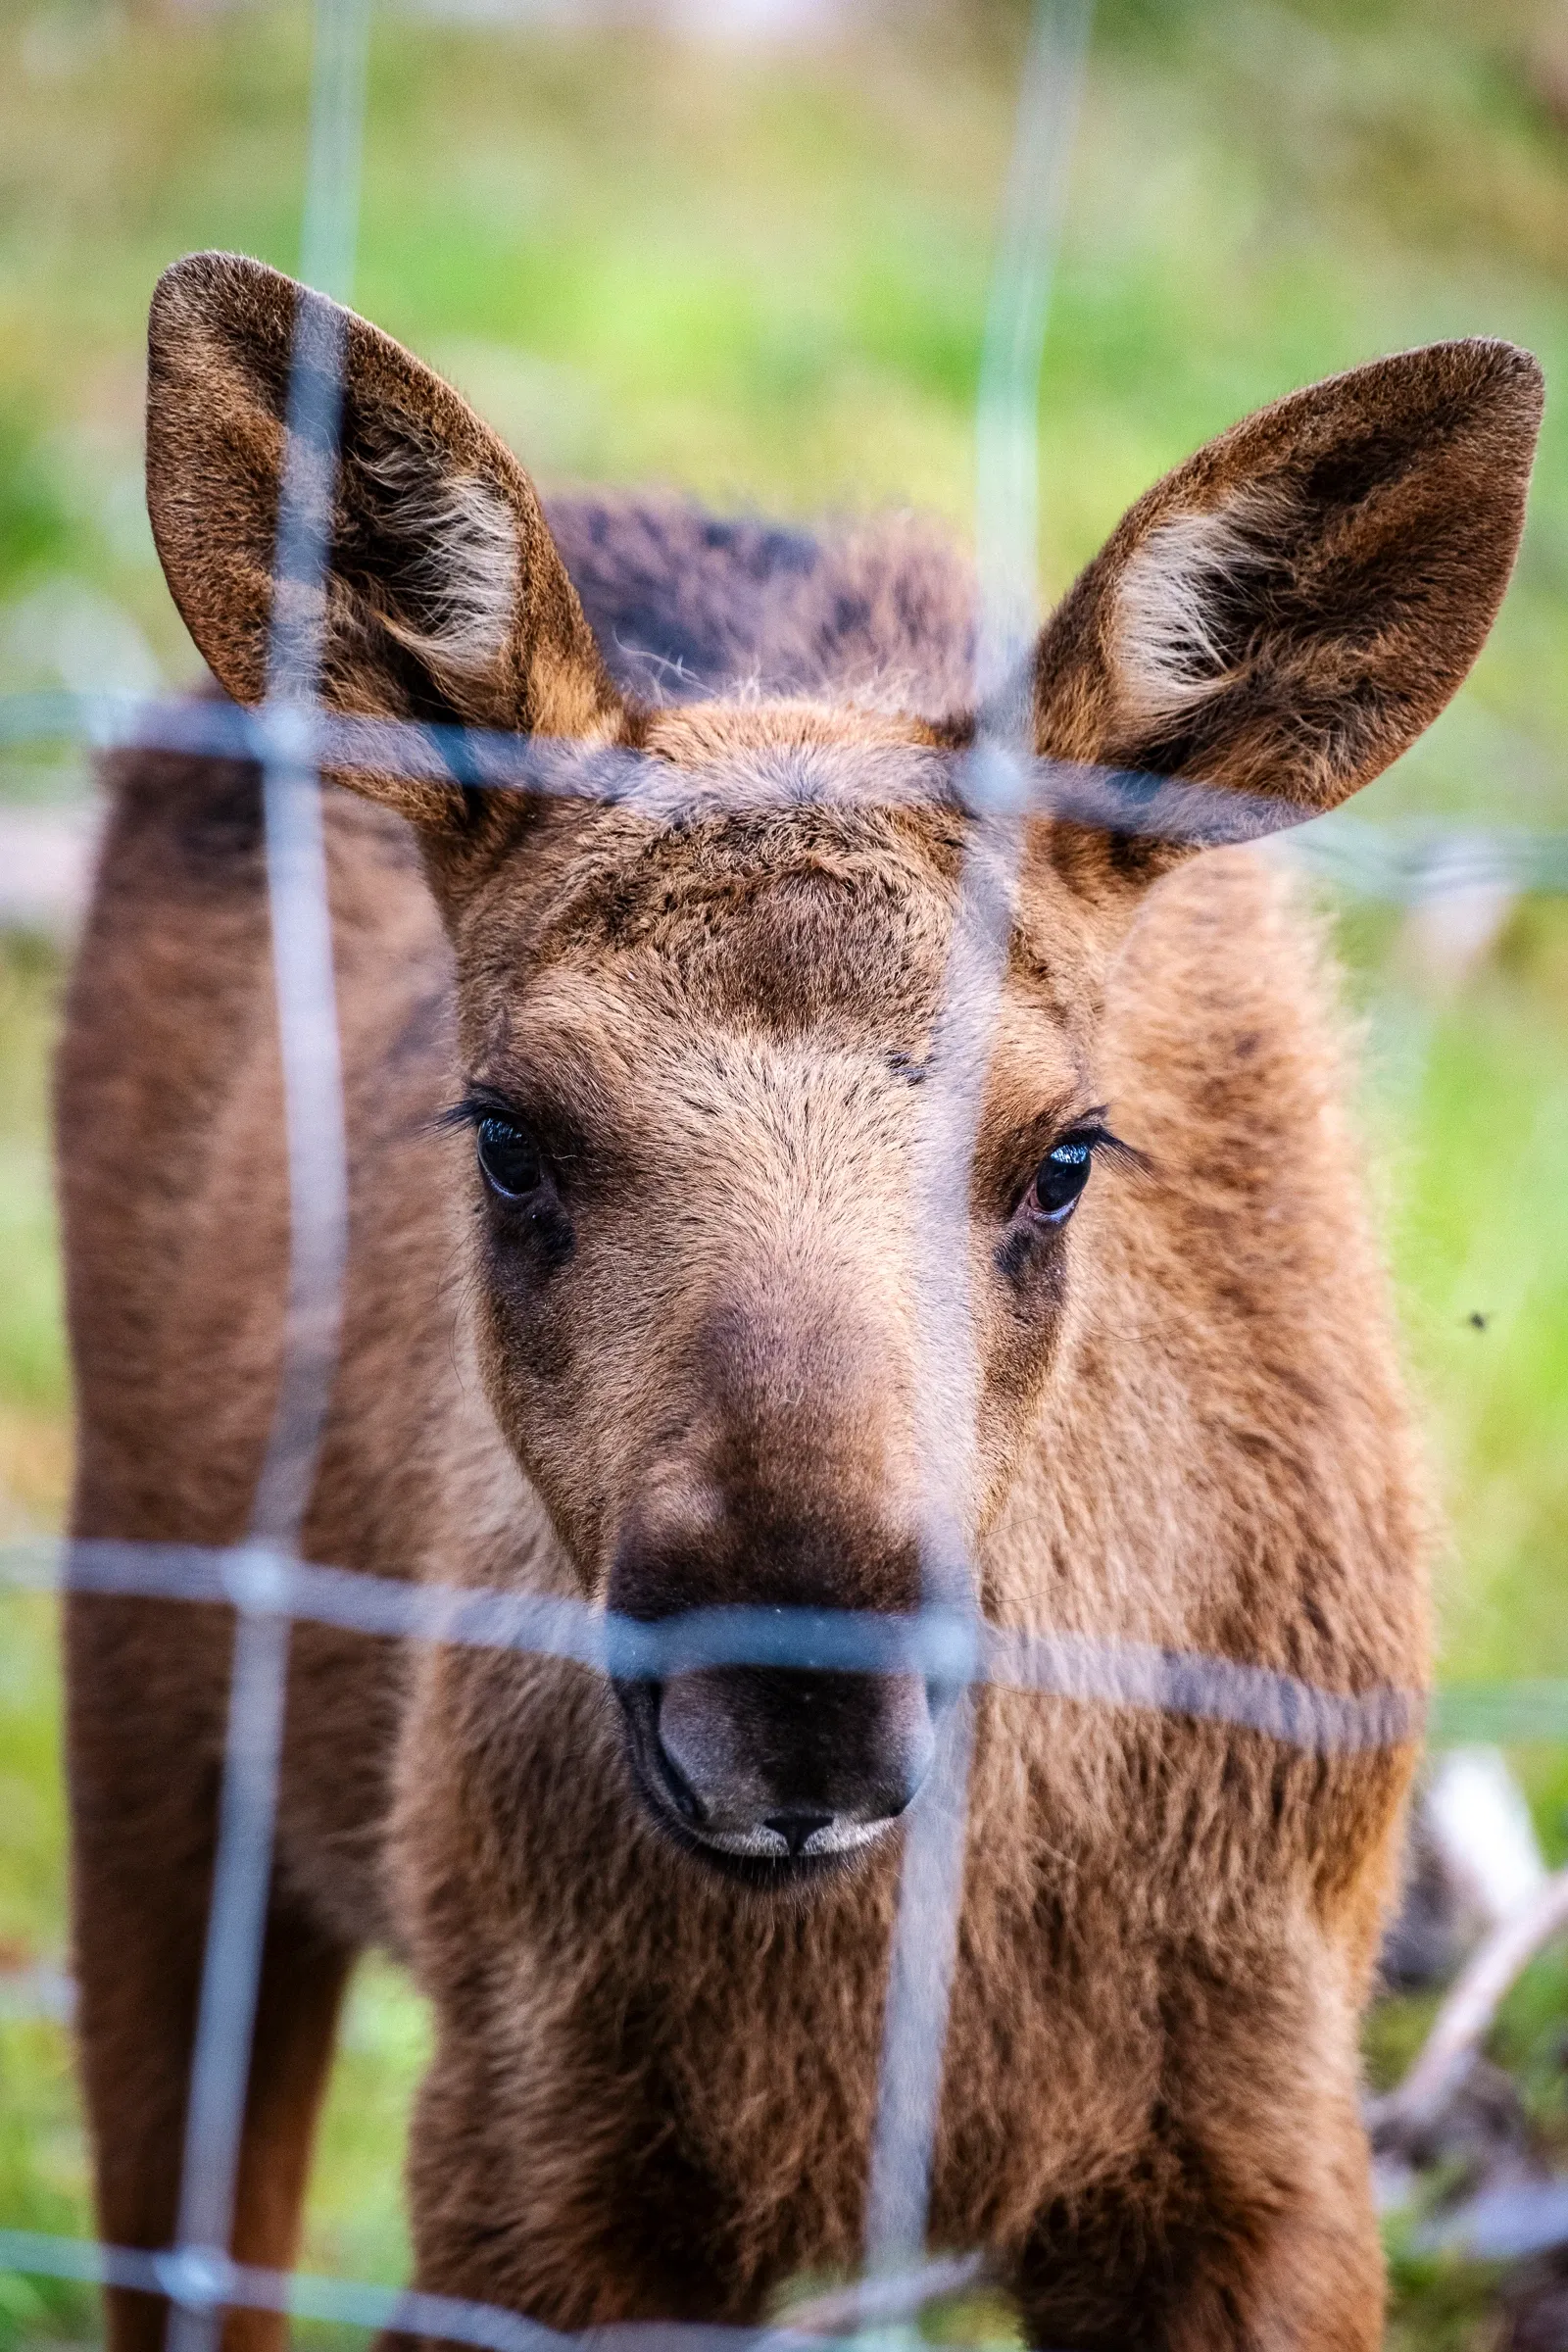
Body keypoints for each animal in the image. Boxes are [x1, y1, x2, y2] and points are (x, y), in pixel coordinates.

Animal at [58, 247, 1542, 2352]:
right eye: (509, 1136)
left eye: (1065, 1153)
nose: (792, 1711)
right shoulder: (533, 2156)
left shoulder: (1267, 2141)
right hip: (149, 1682)